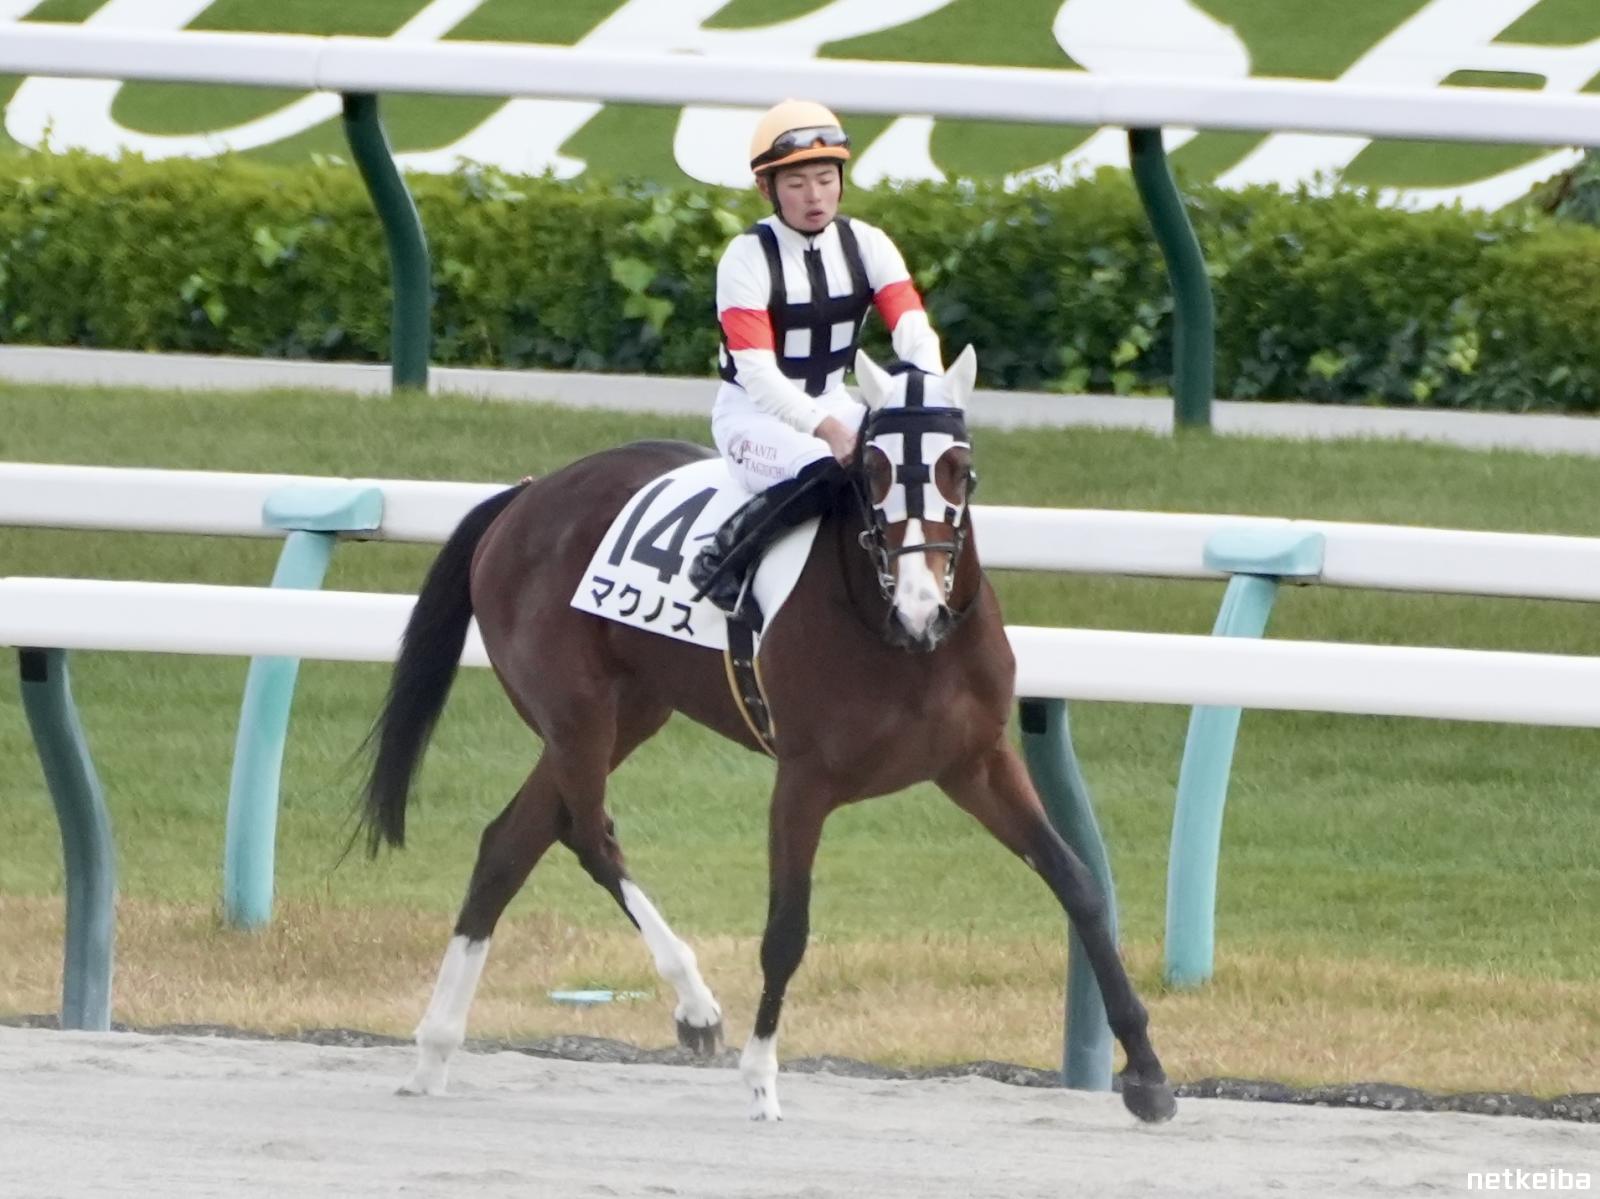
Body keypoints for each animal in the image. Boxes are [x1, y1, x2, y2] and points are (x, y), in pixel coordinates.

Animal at [357, 346, 1175, 1124]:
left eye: (959, 469)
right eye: (873, 469)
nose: (922, 608)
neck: (899, 638)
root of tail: (525, 495)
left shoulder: (976, 762)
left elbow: (1079, 883)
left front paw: (1148, 1074)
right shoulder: (803, 780)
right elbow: (787, 928)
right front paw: (760, 1079)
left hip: (629, 711)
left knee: (510, 841)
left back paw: (434, 1050)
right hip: (576, 710)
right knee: (588, 832)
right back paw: (694, 1006)